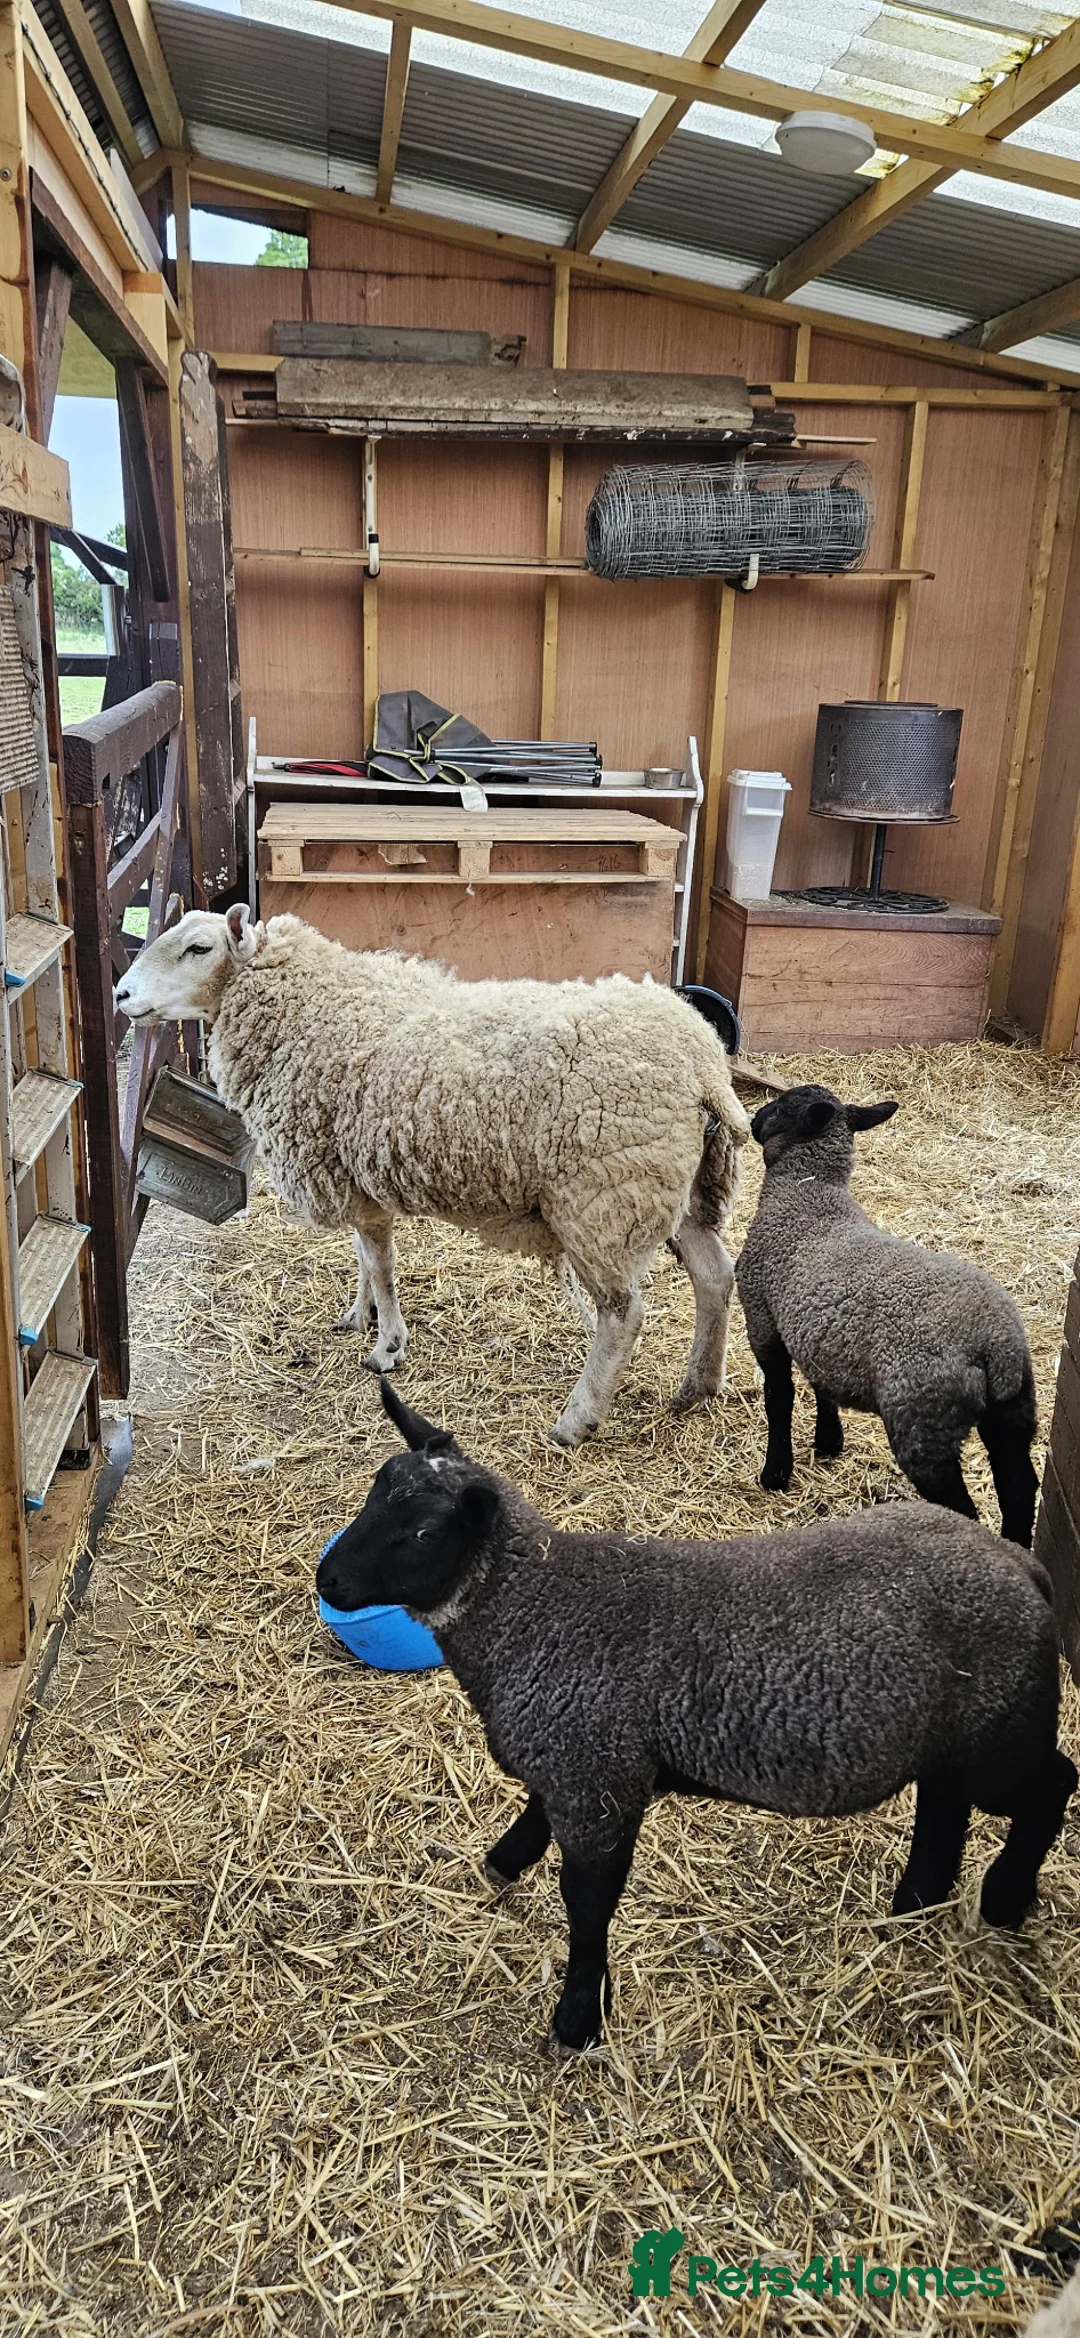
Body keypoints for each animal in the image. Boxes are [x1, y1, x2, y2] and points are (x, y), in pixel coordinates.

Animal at [113, 906, 749, 1446]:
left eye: (198, 948)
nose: (121, 993)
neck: (308, 1006)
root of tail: (704, 1065)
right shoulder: (356, 1175)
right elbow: (364, 1260)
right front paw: (360, 1317)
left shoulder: (350, 1179)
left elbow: (381, 1264)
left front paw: (387, 1346)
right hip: (678, 1189)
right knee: (716, 1278)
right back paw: (697, 1388)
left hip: (604, 1199)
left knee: (623, 1314)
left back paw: (578, 1419)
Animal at [316, 1376, 1075, 2053]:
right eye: (375, 1490)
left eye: (420, 1532)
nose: (328, 1578)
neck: (531, 1607)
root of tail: (1024, 1568)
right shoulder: (576, 1764)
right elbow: (536, 1820)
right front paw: (502, 1864)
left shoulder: (597, 1782)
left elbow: (587, 1907)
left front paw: (577, 2021)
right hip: (957, 1732)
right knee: (946, 1802)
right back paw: (916, 1898)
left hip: (1001, 1729)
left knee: (1051, 1786)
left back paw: (1003, 1898)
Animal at [735, 1084, 1040, 1545]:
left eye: (783, 1106)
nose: (753, 1119)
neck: (808, 1193)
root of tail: (995, 1344)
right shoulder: (818, 1328)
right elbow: (822, 1385)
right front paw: (828, 1442)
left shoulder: (761, 1318)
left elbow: (779, 1395)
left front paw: (776, 1472)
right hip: (1012, 1413)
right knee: (1020, 1488)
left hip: (922, 1422)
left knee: (960, 1506)